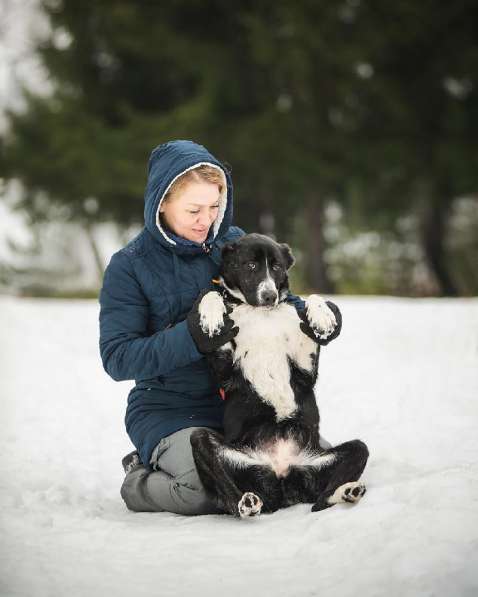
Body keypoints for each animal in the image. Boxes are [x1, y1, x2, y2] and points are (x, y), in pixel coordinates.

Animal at [190, 233, 370, 516]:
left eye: (276, 267)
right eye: (251, 265)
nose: (269, 296)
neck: (259, 313)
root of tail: (281, 476)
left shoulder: (305, 370)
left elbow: (311, 299)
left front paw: (322, 316)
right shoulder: (224, 371)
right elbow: (210, 292)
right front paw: (210, 315)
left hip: (340, 455)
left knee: (323, 497)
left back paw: (348, 491)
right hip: (204, 442)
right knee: (228, 497)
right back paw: (245, 502)